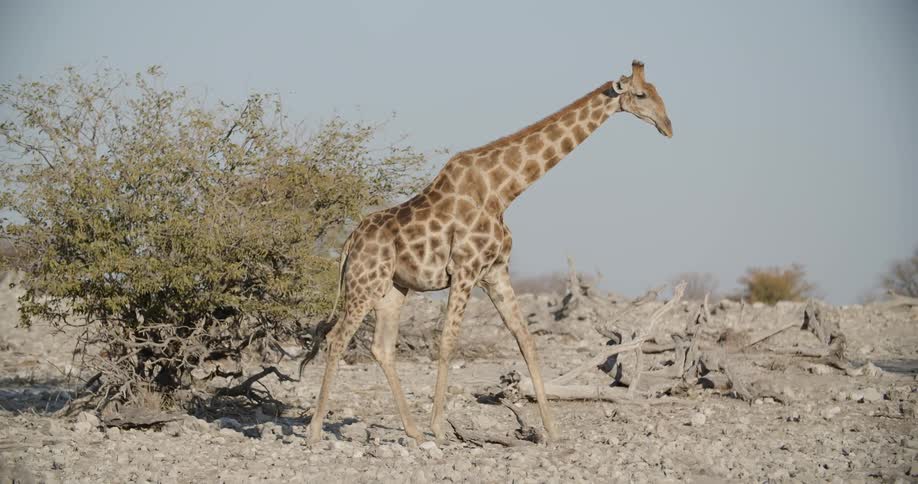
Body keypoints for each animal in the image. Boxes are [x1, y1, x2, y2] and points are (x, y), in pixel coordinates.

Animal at [302, 60, 673, 444]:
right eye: (641, 95)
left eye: (658, 93)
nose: (668, 126)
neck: (503, 191)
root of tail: (349, 243)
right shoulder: (465, 270)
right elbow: (448, 341)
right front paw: (440, 426)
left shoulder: (495, 272)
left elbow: (526, 340)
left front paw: (552, 429)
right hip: (364, 284)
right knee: (337, 339)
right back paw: (315, 429)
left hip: (392, 289)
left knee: (381, 347)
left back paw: (413, 431)